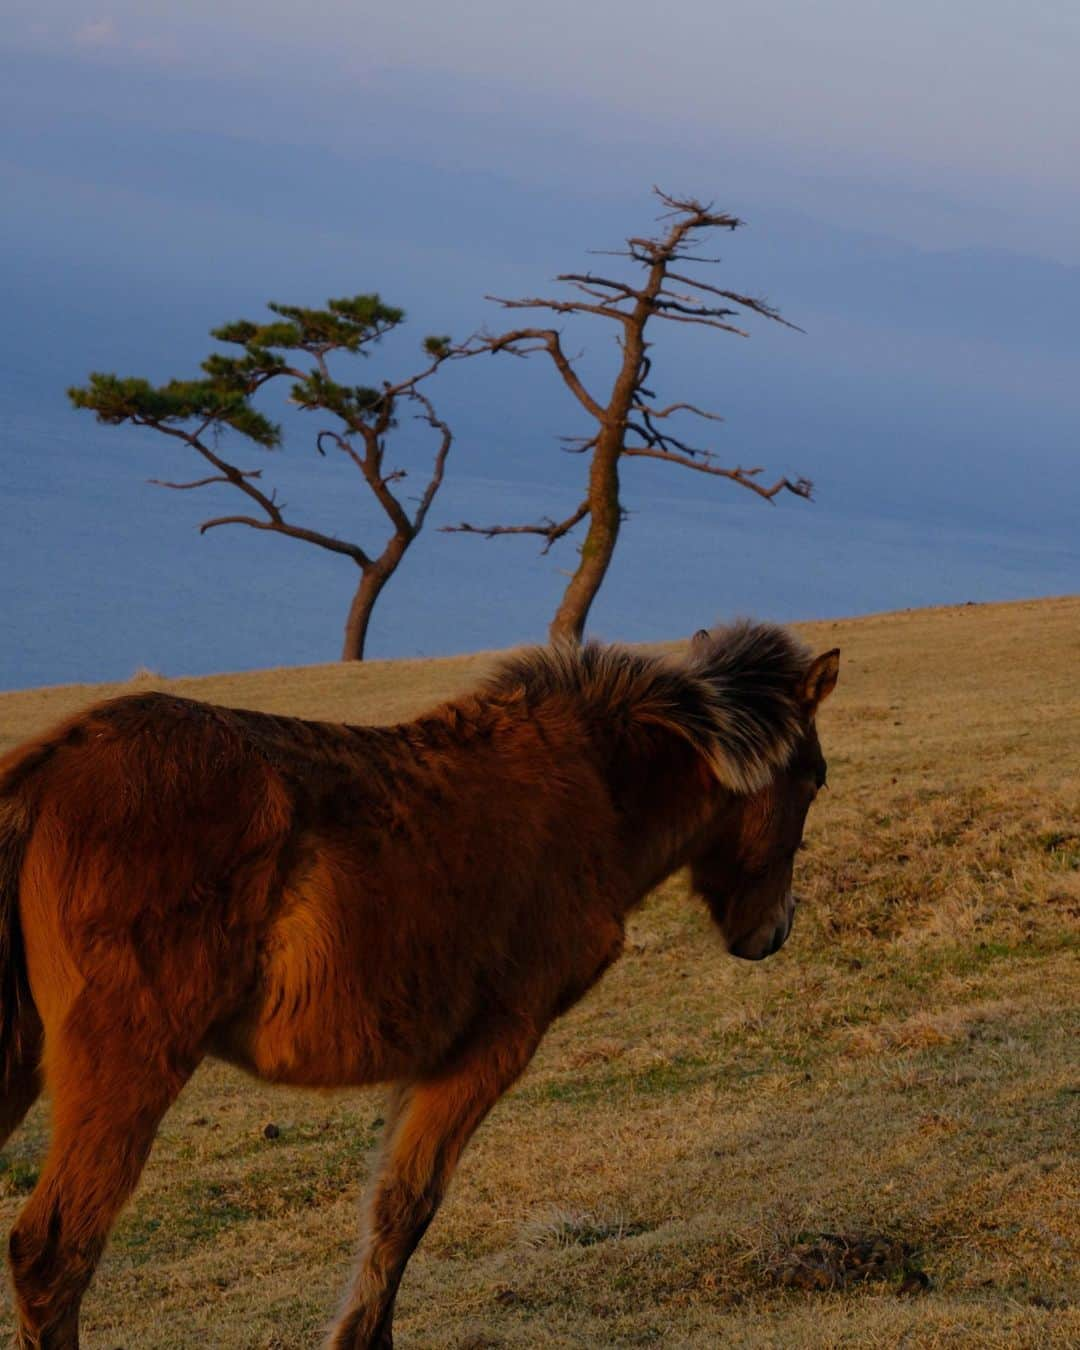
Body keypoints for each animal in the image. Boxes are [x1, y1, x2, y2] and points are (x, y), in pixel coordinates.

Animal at [0, 623, 837, 1350]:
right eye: (816, 777)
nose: (775, 930)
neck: (590, 790)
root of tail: (44, 772)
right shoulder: (495, 1041)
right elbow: (408, 1205)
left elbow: (390, 1205)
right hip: (129, 1065)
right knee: (54, 1252)